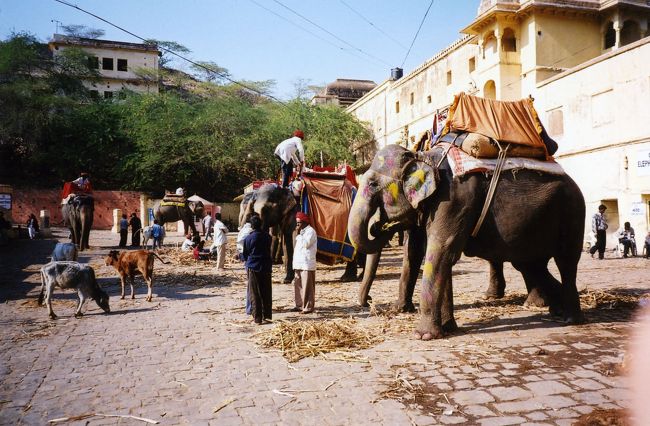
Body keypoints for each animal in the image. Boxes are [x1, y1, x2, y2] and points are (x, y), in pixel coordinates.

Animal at [346, 145, 584, 342]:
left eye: (373, 184)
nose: (368, 302)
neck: (423, 156)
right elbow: (421, 252)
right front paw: (445, 327)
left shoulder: (454, 200)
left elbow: (440, 251)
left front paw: (423, 336)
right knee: (531, 264)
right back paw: (555, 310)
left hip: (572, 212)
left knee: (565, 262)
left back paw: (569, 318)